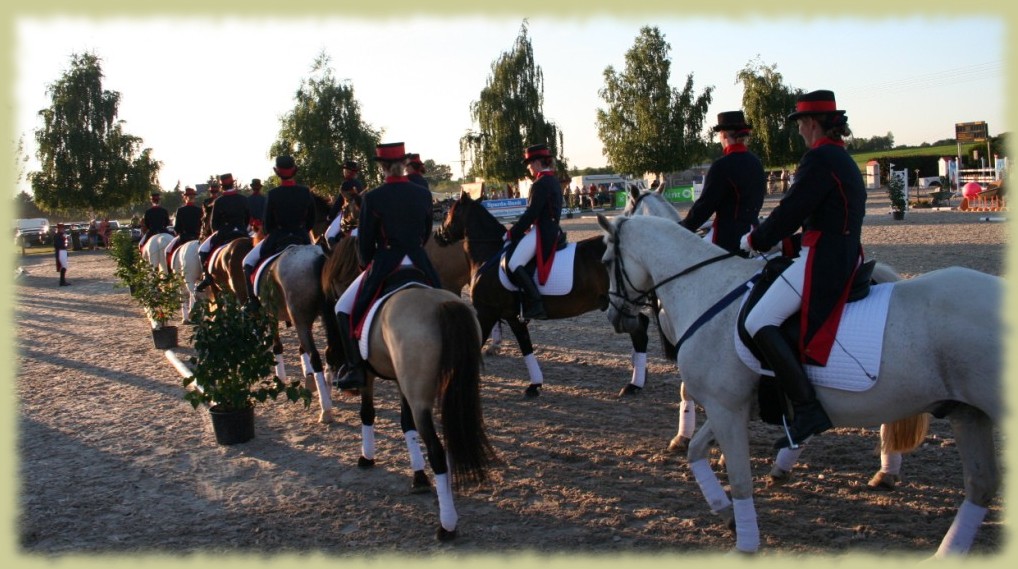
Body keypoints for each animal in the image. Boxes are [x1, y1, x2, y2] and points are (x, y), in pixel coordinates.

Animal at [345, 284, 495, 540]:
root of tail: (440, 304)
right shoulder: (401, 381)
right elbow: (406, 424)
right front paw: (418, 476)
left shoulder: (368, 375)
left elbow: (367, 412)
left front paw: (367, 457)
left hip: (420, 398)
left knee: (437, 452)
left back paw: (447, 526)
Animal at [438, 192, 652, 397]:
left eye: (449, 212)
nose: (439, 235)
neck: (488, 254)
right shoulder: (512, 316)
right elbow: (526, 346)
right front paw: (535, 385)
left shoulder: (486, 312)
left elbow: (476, 345)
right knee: (641, 325)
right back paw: (639, 373)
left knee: (639, 331)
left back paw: (634, 384)